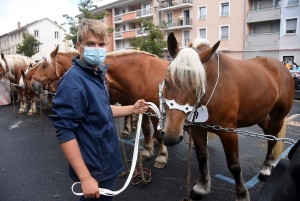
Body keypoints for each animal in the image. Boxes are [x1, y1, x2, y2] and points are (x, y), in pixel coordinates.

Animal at [161, 32, 294, 200]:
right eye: (166, 82)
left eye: (198, 87)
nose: (170, 137)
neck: (214, 87)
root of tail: (282, 67)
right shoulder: (198, 129)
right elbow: (202, 157)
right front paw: (201, 187)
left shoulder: (228, 132)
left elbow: (234, 165)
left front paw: (242, 194)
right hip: (261, 115)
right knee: (269, 134)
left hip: (278, 115)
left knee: (272, 139)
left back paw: (265, 169)